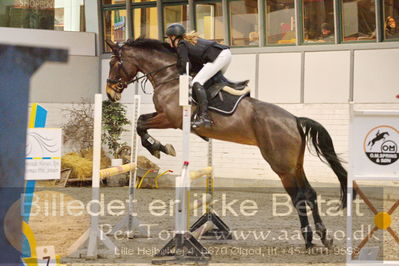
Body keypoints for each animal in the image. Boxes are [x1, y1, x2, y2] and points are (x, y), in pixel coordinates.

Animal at [104, 38, 352, 249]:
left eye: (114, 63)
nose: (109, 94)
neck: (170, 77)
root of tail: (294, 119)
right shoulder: (163, 116)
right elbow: (141, 121)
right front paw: (159, 147)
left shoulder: (171, 119)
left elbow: (140, 124)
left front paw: (158, 147)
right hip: (295, 163)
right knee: (309, 193)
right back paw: (322, 237)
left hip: (281, 165)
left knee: (299, 197)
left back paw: (309, 240)